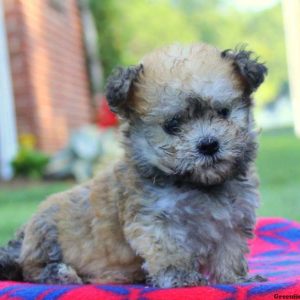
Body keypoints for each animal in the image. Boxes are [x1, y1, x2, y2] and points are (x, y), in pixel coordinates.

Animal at [0, 43, 268, 288]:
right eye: (172, 125)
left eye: (223, 112)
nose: (209, 145)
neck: (197, 185)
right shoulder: (154, 219)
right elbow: (169, 250)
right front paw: (180, 276)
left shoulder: (233, 219)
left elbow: (230, 251)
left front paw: (235, 278)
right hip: (47, 234)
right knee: (31, 269)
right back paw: (62, 273)